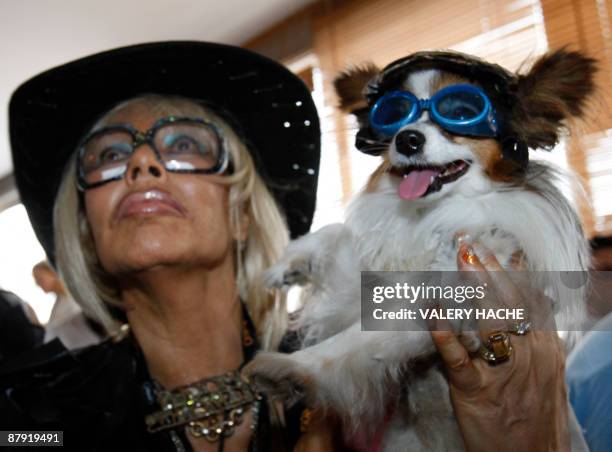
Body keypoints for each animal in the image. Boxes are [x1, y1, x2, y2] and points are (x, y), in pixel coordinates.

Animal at [243, 49, 592, 448]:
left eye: (460, 113)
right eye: (395, 114)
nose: (407, 139)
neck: (431, 216)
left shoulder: (436, 304)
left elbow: (349, 342)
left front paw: (292, 369)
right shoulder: (365, 288)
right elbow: (337, 233)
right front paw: (289, 263)